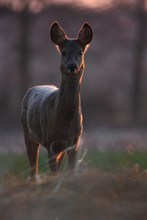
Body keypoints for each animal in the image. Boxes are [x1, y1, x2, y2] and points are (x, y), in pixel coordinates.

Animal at [20, 21, 93, 177]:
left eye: (81, 52)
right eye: (63, 52)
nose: (72, 66)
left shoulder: (75, 140)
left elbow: (71, 170)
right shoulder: (50, 141)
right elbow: (54, 172)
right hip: (27, 132)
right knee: (33, 168)